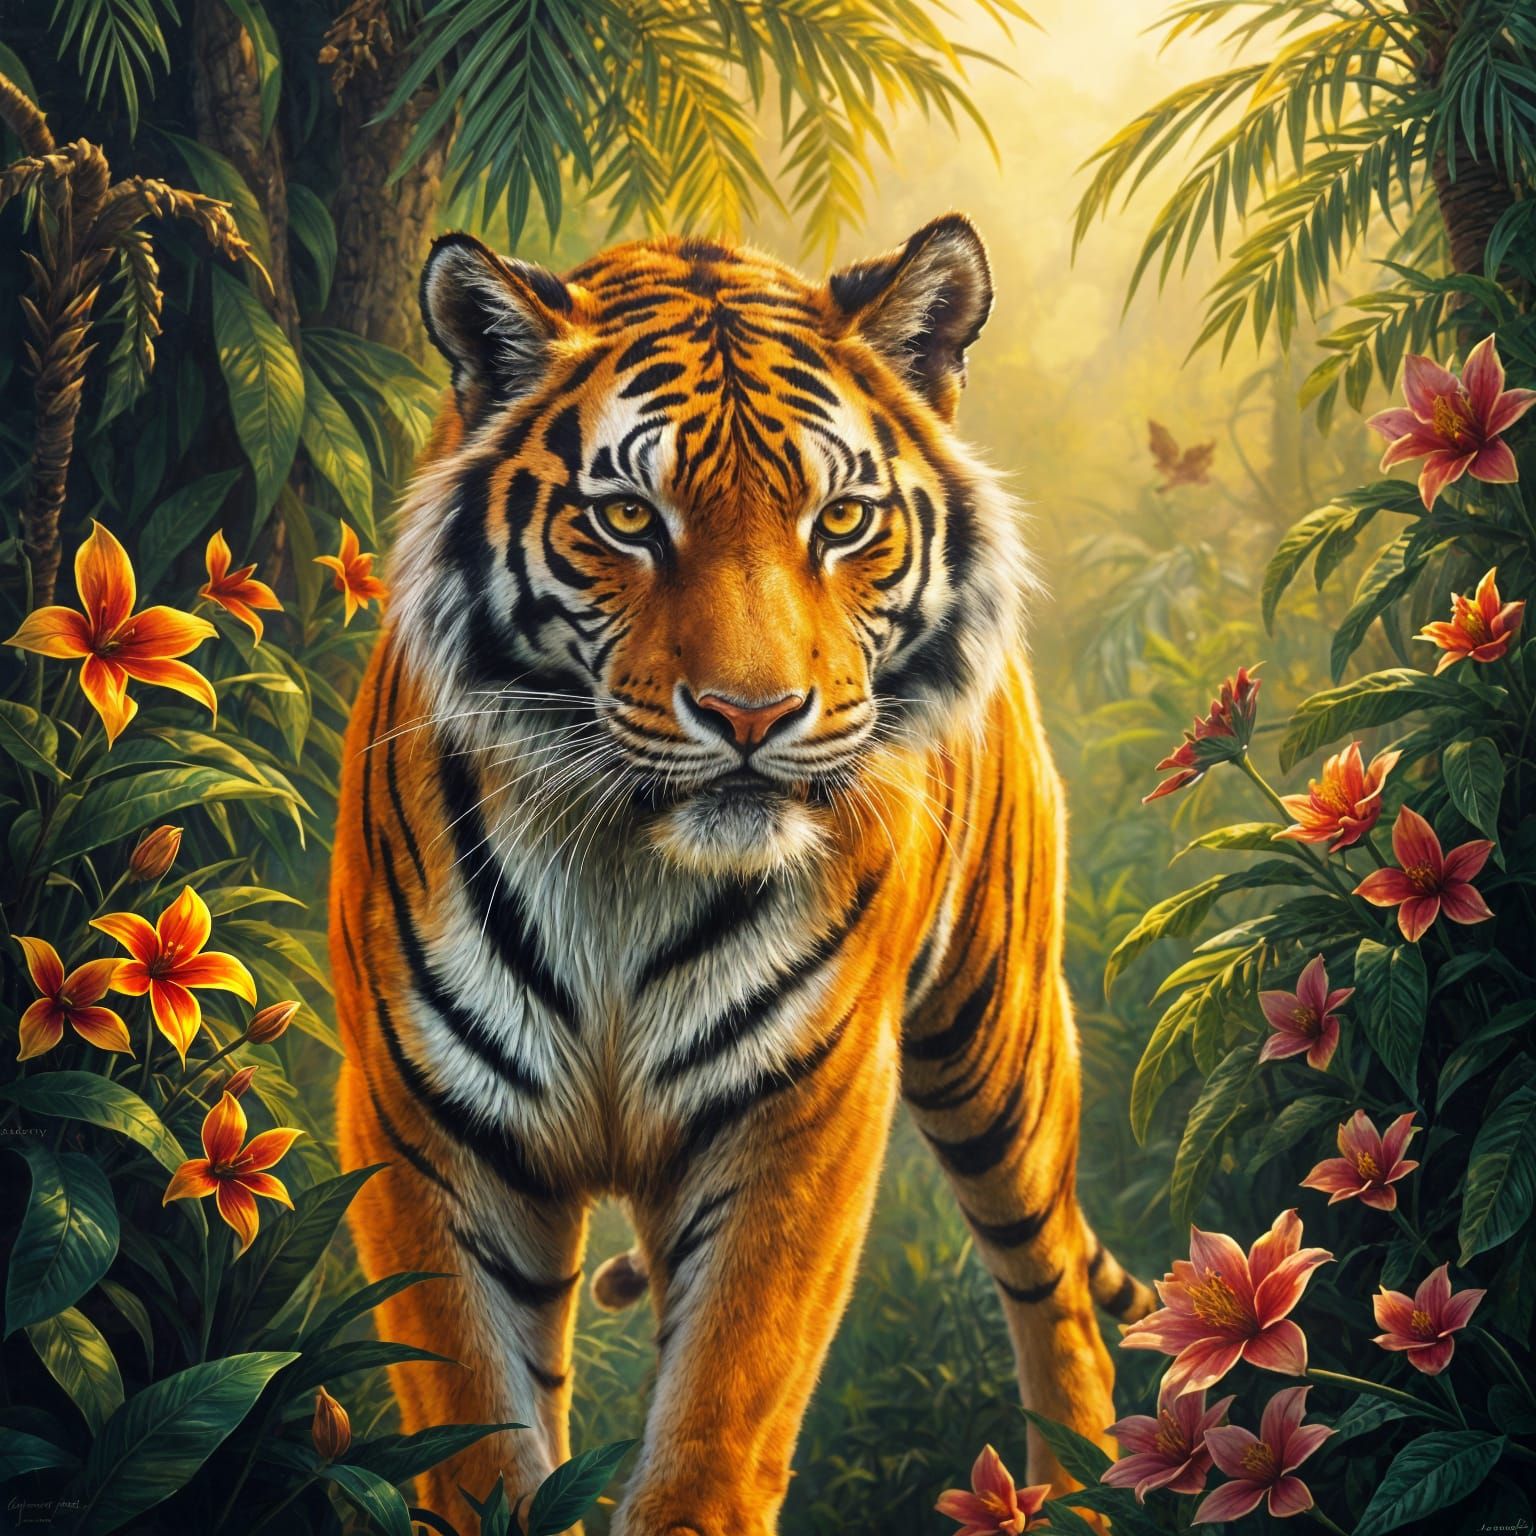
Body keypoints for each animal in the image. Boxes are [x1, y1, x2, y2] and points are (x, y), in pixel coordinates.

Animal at [330, 213, 1154, 1534]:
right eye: (627, 520)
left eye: (842, 520)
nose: (751, 715)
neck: (620, 862)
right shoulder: (425, 1123)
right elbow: (478, 1430)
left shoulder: (795, 1109)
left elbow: (721, 1414)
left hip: (1000, 1039)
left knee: (1057, 1295)